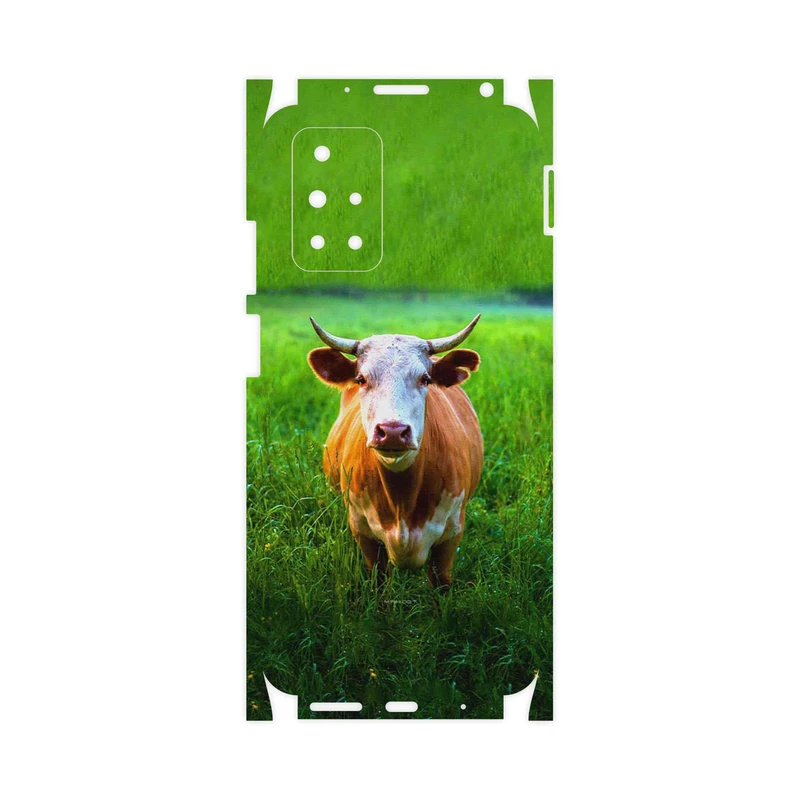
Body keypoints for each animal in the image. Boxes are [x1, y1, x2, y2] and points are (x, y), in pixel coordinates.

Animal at [307, 315, 484, 590]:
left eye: (425, 379)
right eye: (361, 379)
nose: (392, 431)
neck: (403, 500)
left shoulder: (451, 535)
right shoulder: (364, 533)